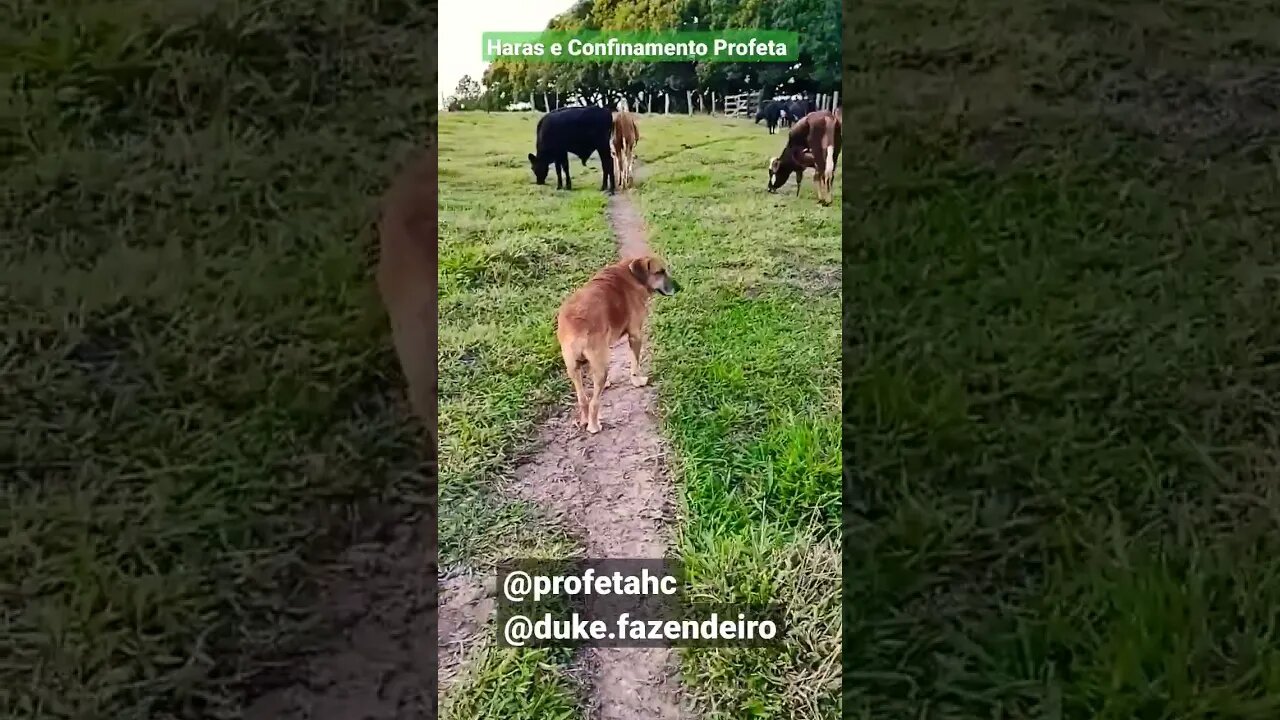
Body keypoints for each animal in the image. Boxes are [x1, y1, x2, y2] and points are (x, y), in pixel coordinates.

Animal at [558, 253, 680, 430]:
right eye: (660, 272)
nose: (679, 288)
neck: (633, 275)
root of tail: (576, 325)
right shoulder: (635, 335)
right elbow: (635, 365)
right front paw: (637, 381)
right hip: (598, 365)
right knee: (594, 402)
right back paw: (594, 426)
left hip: (573, 368)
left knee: (583, 399)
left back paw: (585, 419)